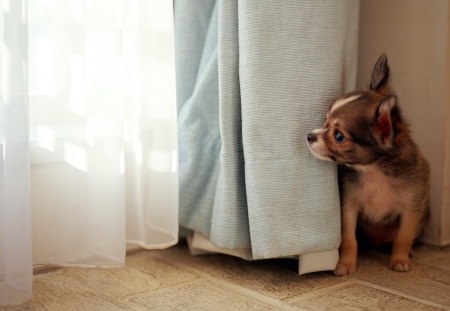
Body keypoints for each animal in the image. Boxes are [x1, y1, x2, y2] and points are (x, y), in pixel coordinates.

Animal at [306, 53, 428, 276]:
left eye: (338, 136)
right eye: (325, 122)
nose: (310, 136)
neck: (374, 170)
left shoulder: (411, 210)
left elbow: (403, 238)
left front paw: (400, 260)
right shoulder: (349, 207)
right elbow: (349, 240)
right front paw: (345, 265)